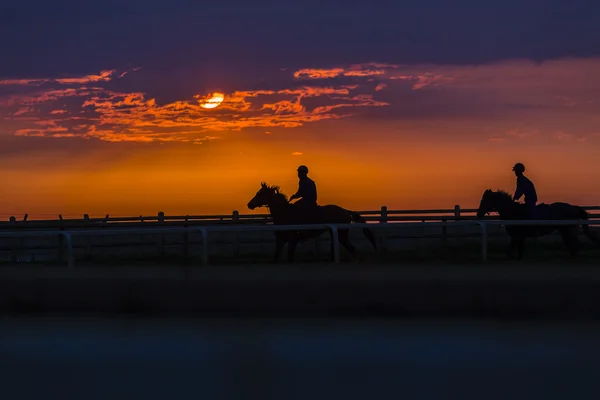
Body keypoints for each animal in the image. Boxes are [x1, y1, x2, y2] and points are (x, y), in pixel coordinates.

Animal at [246, 182, 378, 262]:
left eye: (260, 194)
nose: (249, 204)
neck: (285, 213)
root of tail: (345, 211)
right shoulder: (281, 240)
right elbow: (276, 257)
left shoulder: (293, 240)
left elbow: (289, 257)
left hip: (342, 234)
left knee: (351, 248)